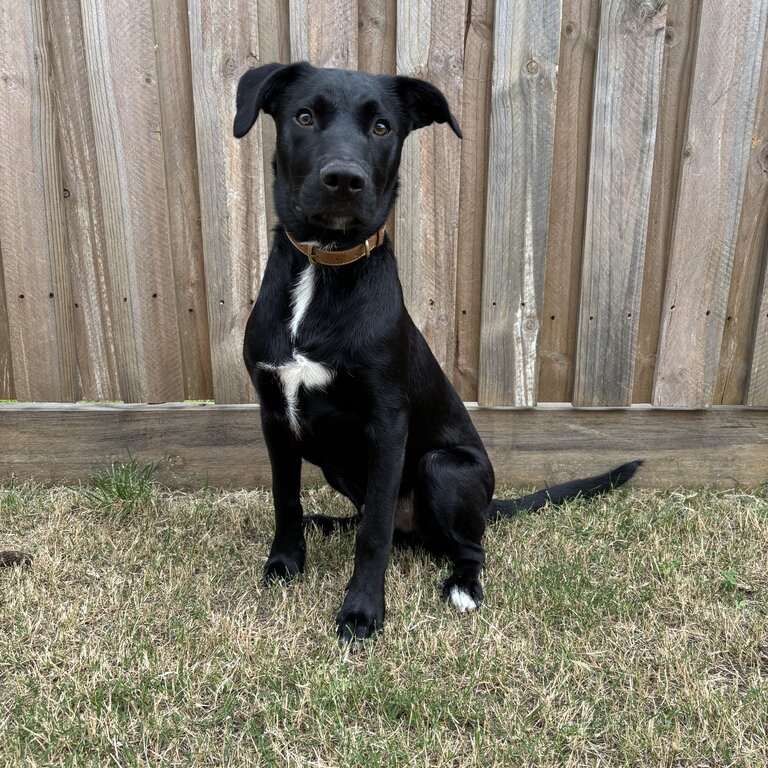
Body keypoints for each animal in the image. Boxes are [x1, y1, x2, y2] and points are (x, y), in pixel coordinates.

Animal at [231, 64, 640, 640]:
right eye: (304, 117)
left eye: (382, 127)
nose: (344, 180)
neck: (323, 268)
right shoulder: (274, 414)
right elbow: (285, 499)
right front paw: (285, 563)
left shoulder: (388, 423)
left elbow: (375, 533)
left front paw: (361, 611)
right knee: (373, 519)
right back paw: (328, 522)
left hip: (442, 469)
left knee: (464, 545)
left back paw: (464, 585)